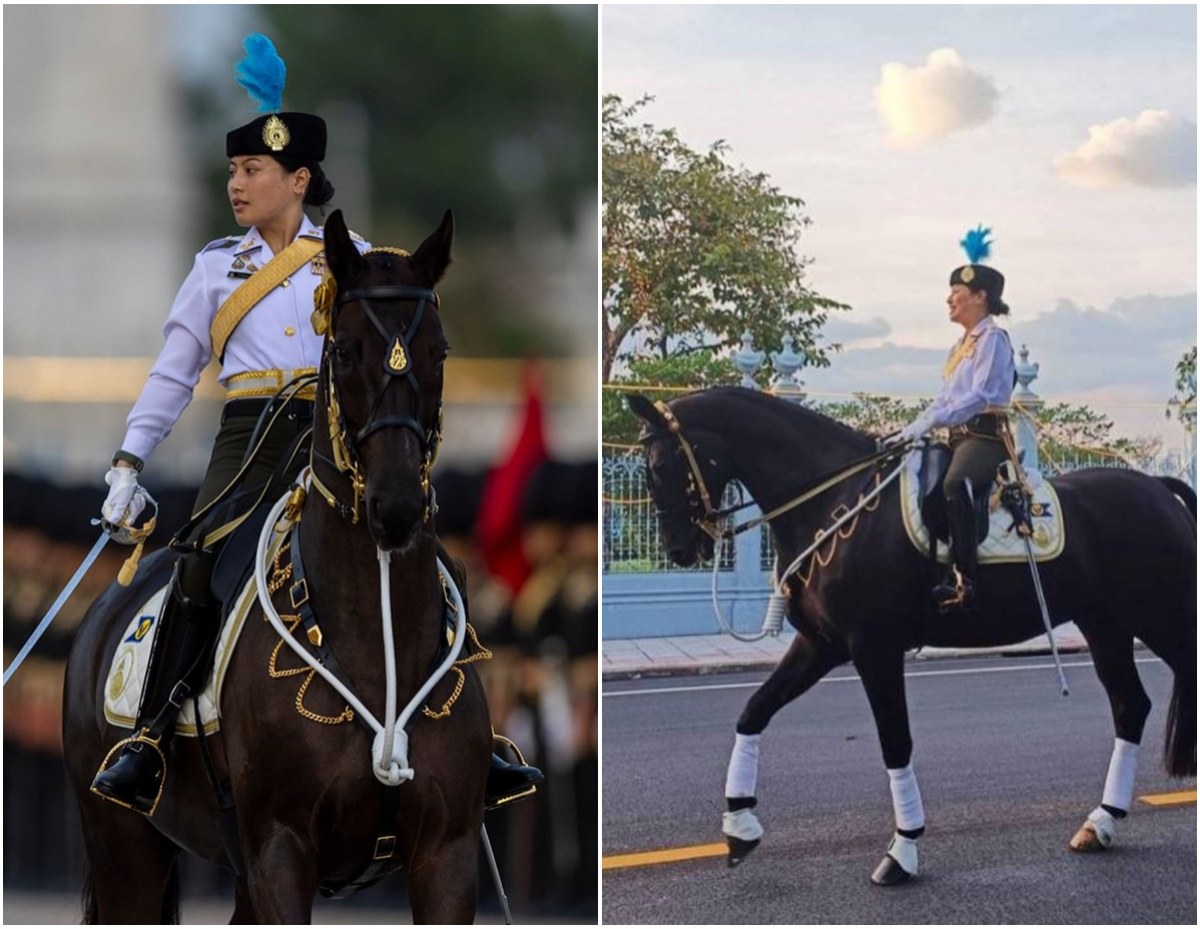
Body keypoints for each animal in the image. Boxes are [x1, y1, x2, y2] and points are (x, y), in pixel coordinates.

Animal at [59, 212, 492, 921]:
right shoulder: (280, 850)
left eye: (440, 353)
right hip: (124, 851)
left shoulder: (448, 856)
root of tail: (100, 611)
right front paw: (122, 489)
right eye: (343, 351)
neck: (375, 640)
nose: (397, 504)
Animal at [633, 391, 1195, 888]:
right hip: (1106, 624)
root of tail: (1157, 487)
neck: (834, 501)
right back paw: (1101, 822)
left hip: (1160, 616)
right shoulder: (822, 645)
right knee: (1129, 706)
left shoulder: (874, 646)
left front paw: (902, 851)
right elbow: (753, 712)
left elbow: (894, 741)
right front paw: (740, 826)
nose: (680, 548)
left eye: (659, 467)